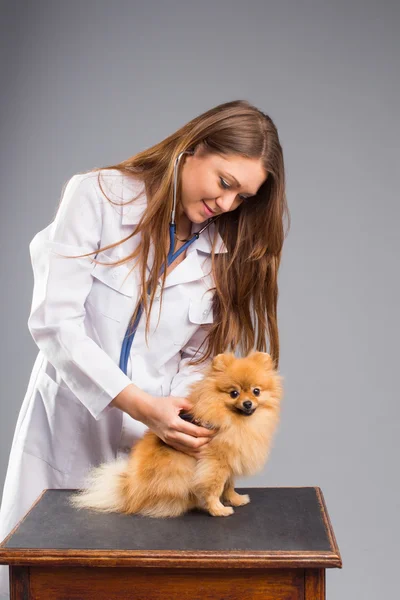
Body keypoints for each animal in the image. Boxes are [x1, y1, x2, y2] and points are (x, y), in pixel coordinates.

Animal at [69, 352, 282, 516]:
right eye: (234, 393)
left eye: (256, 391)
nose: (247, 403)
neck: (236, 421)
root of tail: (128, 493)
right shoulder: (215, 462)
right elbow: (215, 487)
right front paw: (218, 509)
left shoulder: (230, 459)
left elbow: (229, 484)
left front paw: (235, 499)